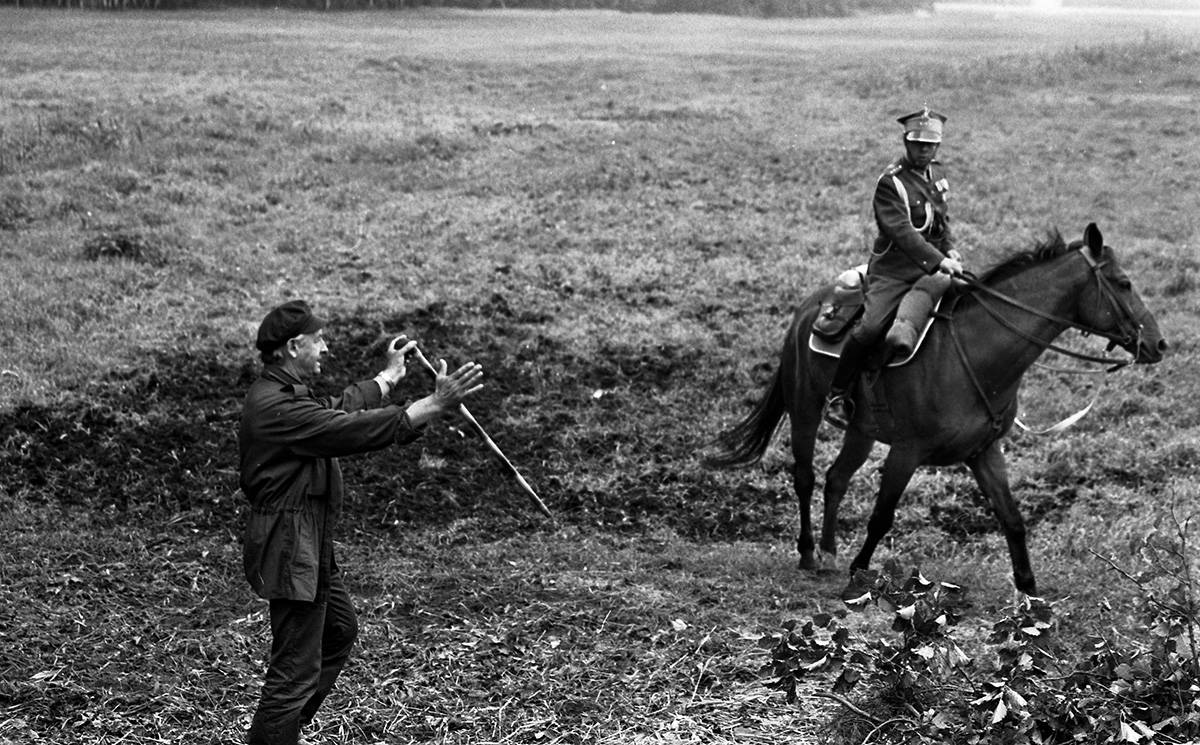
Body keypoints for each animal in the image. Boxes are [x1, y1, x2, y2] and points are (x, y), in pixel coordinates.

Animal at [705, 223, 1166, 595]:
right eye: (1123, 283)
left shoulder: (985, 452)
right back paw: (807, 553)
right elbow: (882, 516)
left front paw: (1030, 590)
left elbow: (1012, 519)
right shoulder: (906, 451)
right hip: (805, 407)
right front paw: (860, 570)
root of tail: (811, 307)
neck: (974, 352)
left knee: (836, 479)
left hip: (861, 429)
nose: (1158, 344)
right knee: (805, 476)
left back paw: (830, 551)